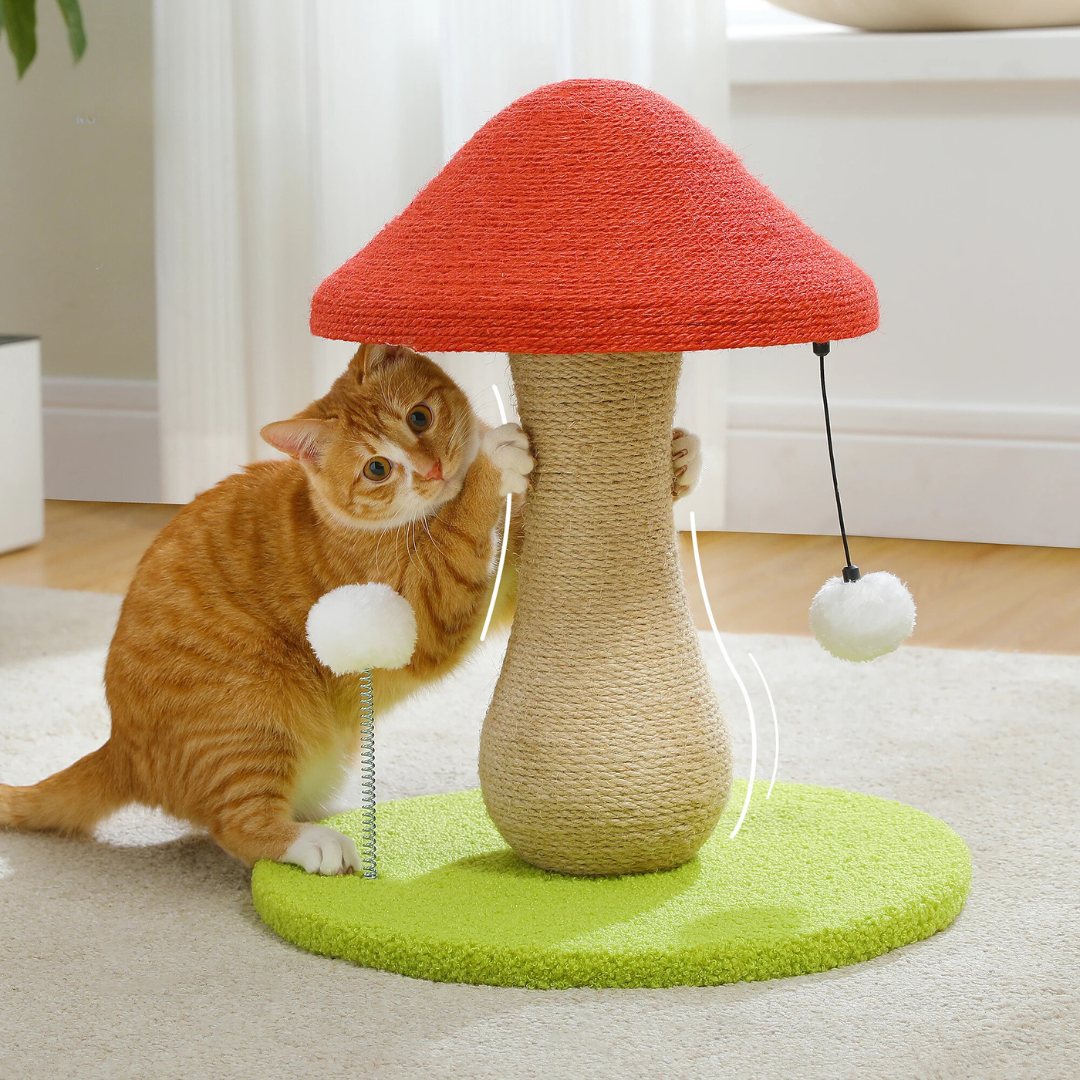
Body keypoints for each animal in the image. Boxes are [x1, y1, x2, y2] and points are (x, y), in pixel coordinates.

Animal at [0, 347, 704, 876]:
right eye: (377, 469)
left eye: (420, 416)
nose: (433, 468)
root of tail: (119, 745)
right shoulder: (428, 608)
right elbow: (470, 526)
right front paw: (492, 464)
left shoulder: (508, 580)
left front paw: (677, 457)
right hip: (250, 711)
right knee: (238, 825)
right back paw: (313, 844)